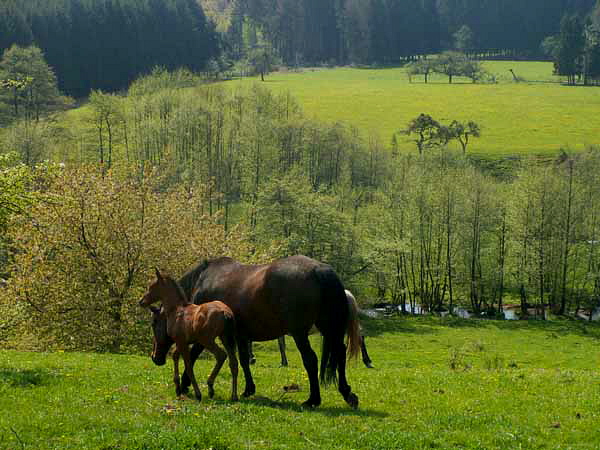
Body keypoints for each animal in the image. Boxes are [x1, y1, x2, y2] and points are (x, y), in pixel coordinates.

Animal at [139, 268, 238, 402]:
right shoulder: (182, 342)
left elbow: (188, 366)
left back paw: (210, 387)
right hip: (225, 338)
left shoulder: (181, 341)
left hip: (207, 340)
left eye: (152, 286)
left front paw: (197, 393)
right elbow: (175, 356)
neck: (176, 310)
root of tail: (225, 312)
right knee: (234, 363)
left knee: (221, 355)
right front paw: (177, 388)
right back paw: (234, 395)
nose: (141, 301)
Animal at [159, 255, 358, 410]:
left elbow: (192, 356)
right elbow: (243, 360)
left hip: (300, 333)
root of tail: (319, 270)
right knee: (340, 353)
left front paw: (185, 384)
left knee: (310, 360)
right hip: (329, 329)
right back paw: (347, 393)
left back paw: (313, 400)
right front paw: (248, 389)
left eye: (156, 323)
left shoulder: (206, 334)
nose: (157, 358)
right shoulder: (240, 335)